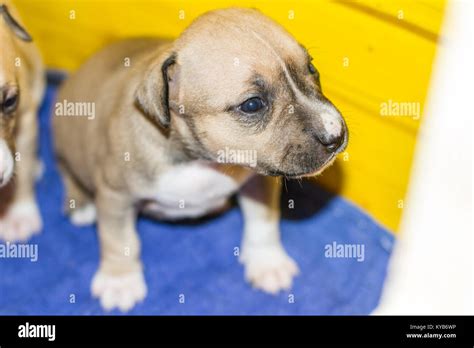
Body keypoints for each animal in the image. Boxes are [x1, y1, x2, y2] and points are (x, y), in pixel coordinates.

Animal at [53, 8, 348, 312]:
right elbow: (119, 240)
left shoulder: (258, 180)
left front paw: (268, 262)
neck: (199, 160)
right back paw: (81, 204)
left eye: (311, 68)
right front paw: (120, 281)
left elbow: (264, 220)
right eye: (252, 104)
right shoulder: (116, 195)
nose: (336, 135)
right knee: (65, 168)